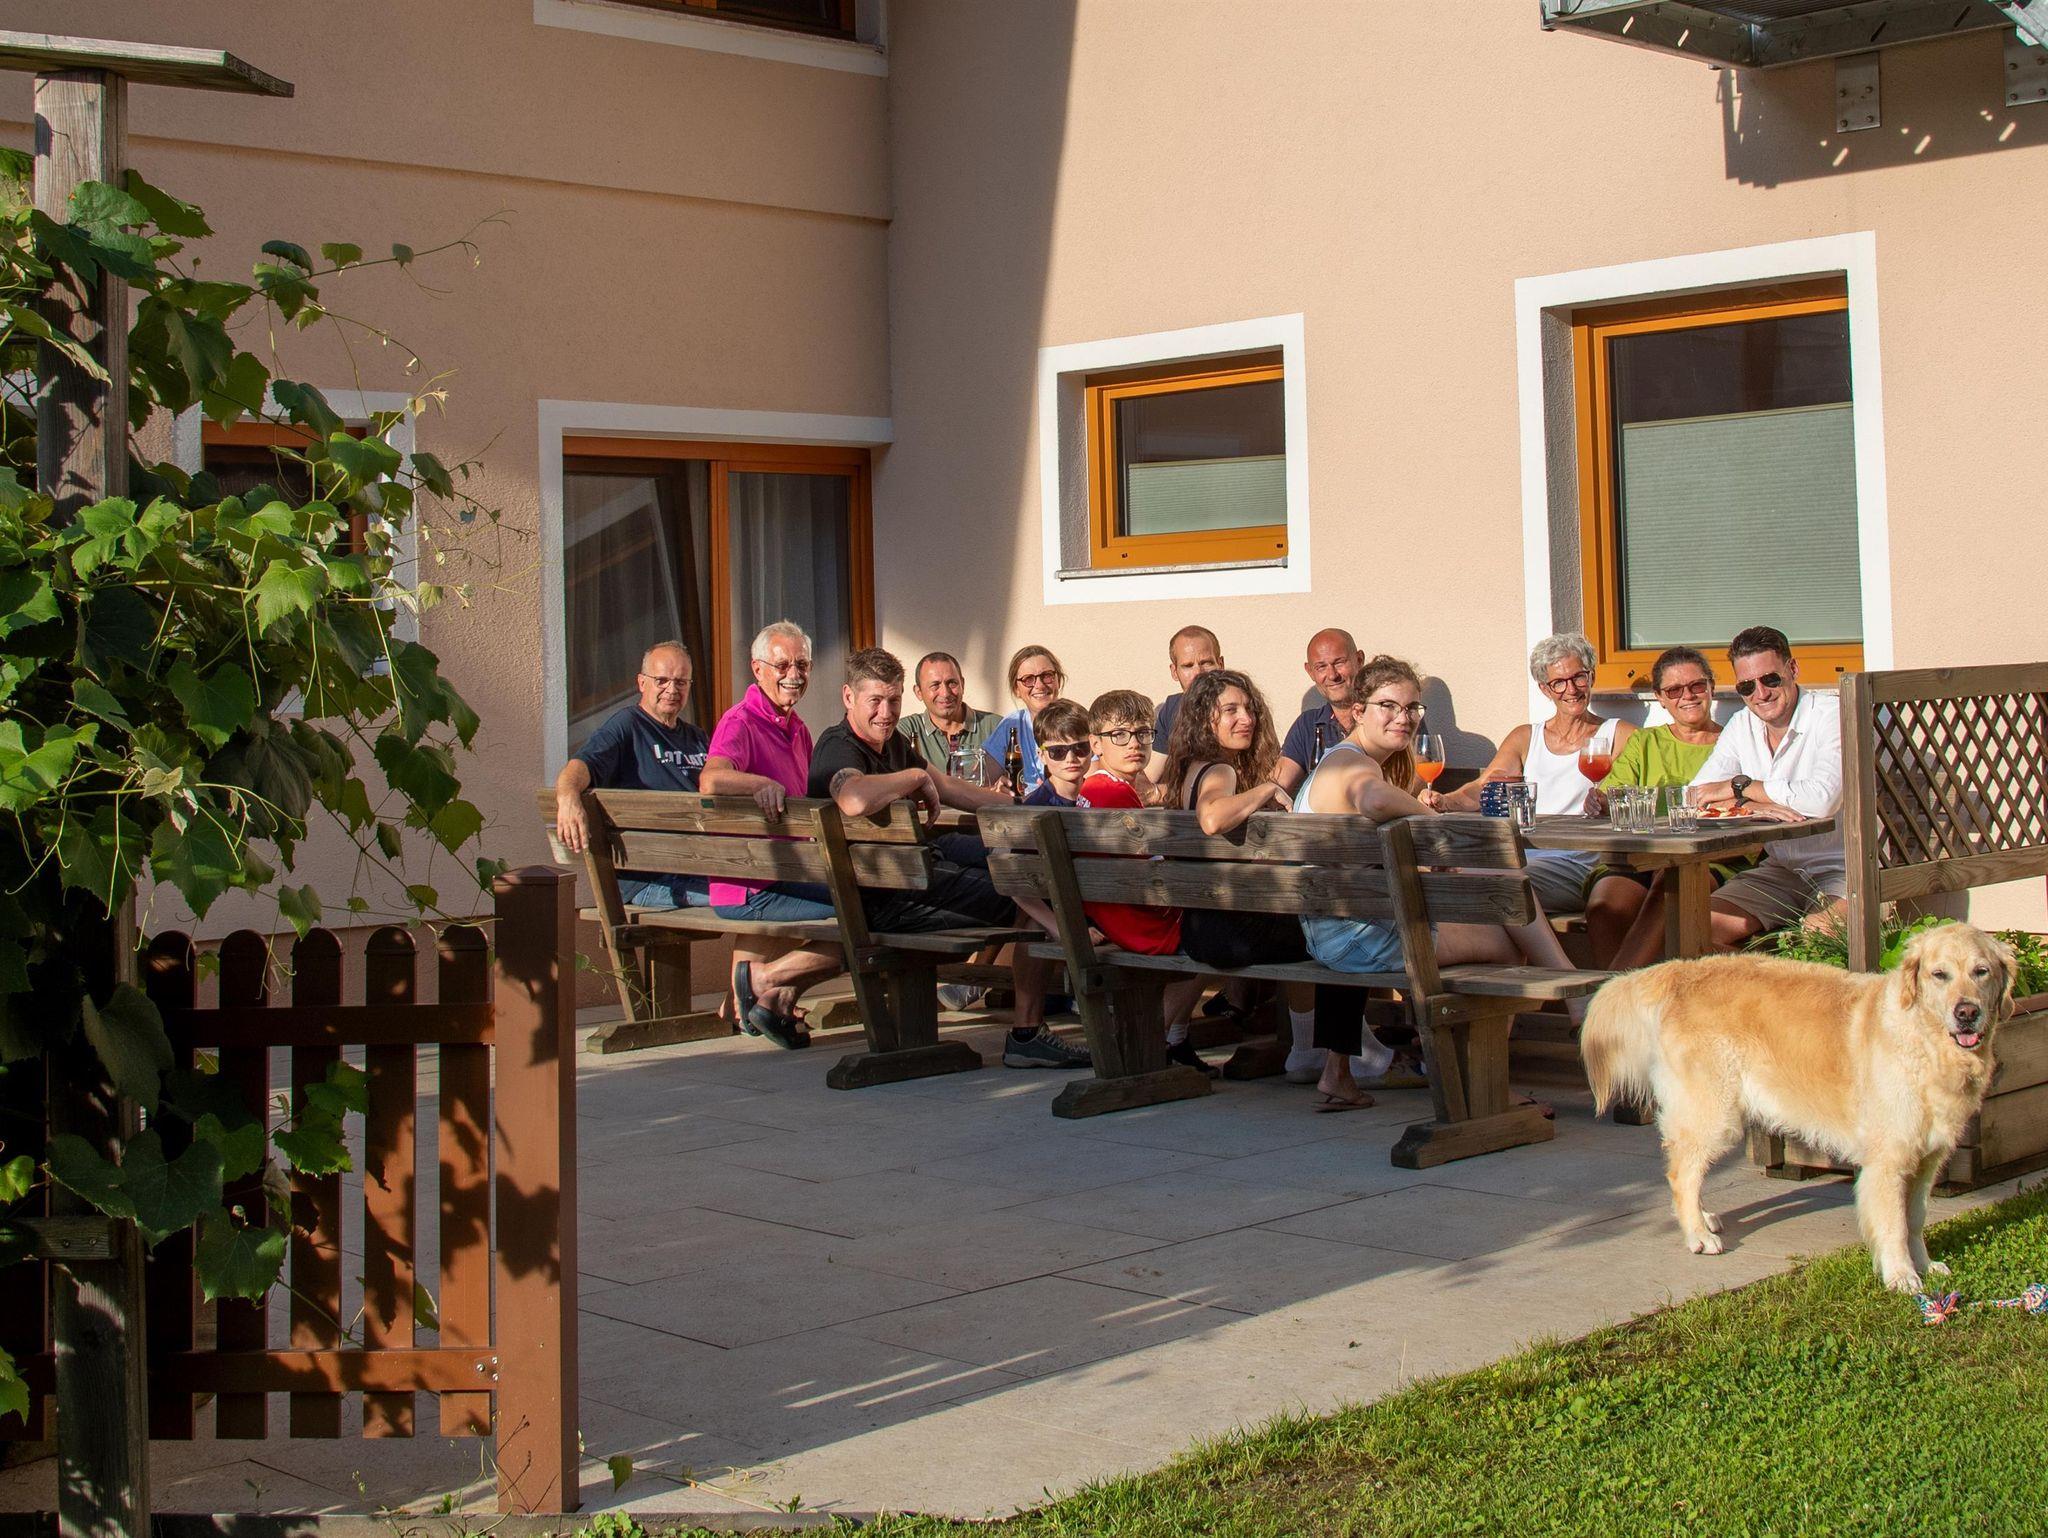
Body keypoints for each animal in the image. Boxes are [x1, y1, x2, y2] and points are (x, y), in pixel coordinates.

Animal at [1583, 923, 2015, 1293]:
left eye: (1981, 972)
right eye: (1939, 975)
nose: (1967, 1013)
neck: (1926, 1043)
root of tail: (1681, 971)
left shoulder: (1928, 1159)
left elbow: (1916, 1218)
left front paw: (1924, 1264)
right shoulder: (1888, 1160)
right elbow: (1893, 1224)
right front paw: (1902, 1277)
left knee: (1689, 1169)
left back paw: (1703, 1219)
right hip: (1716, 1115)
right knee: (1681, 1174)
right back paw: (1698, 1235)